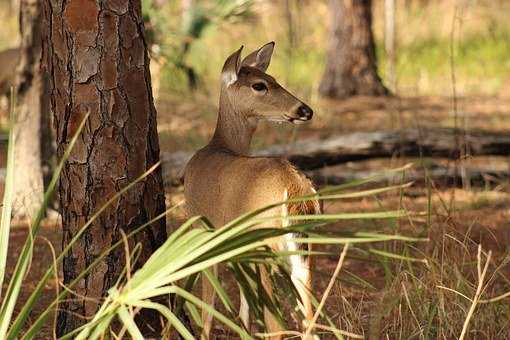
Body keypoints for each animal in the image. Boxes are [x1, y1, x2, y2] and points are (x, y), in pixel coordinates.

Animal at [183, 42, 318, 340]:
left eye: (272, 79)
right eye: (260, 84)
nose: (305, 110)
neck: (220, 146)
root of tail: (294, 186)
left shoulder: (205, 229)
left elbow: (209, 307)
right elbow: (244, 308)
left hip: (268, 243)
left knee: (276, 324)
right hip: (303, 248)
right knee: (309, 319)